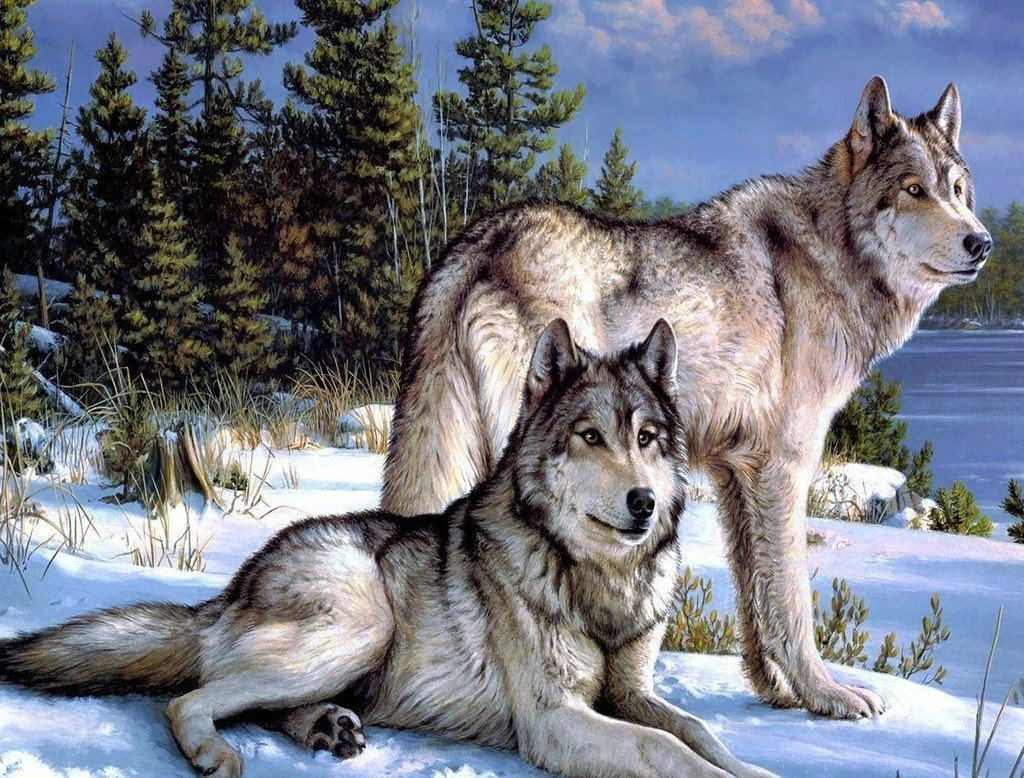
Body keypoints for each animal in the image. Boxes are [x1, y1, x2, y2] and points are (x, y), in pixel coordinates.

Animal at [0, 320, 774, 778]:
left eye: (646, 438)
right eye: (591, 437)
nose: (644, 503)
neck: (600, 584)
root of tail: (233, 586)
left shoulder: (632, 694)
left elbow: (700, 733)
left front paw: (757, 768)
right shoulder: (555, 721)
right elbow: (665, 748)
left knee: (251, 700)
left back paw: (328, 728)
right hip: (361, 626)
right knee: (190, 700)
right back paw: (217, 753)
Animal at [382, 77, 991, 720]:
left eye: (957, 190)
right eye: (914, 190)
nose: (981, 242)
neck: (831, 256)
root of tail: (476, 244)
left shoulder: (736, 474)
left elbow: (755, 599)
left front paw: (774, 692)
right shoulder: (785, 468)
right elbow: (792, 603)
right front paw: (825, 695)